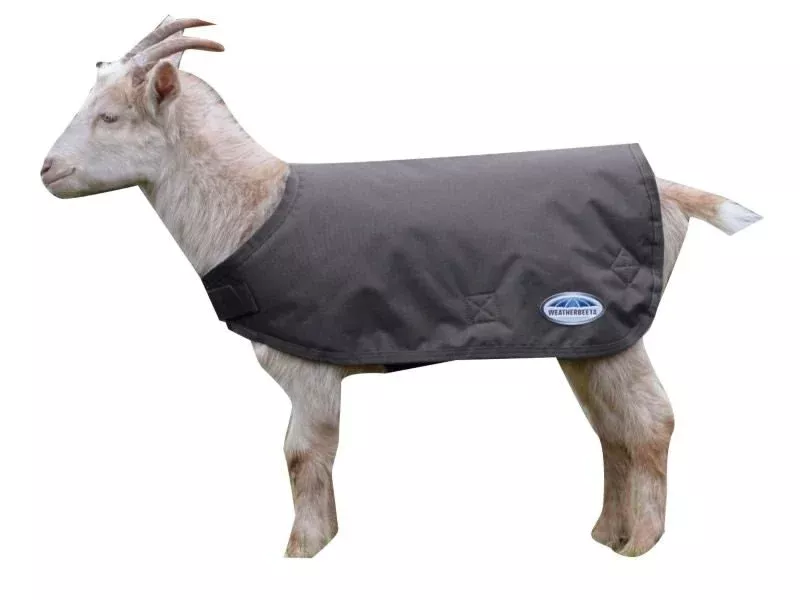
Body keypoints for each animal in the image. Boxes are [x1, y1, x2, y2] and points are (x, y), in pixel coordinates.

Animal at [41, 17, 761, 558]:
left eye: (109, 117)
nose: (47, 169)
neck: (254, 207)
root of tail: (668, 188)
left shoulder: (308, 366)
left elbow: (302, 453)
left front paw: (302, 550)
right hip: (587, 339)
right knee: (611, 426)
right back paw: (607, 533)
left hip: (611, 328)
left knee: (649, 420)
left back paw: (641, 543)